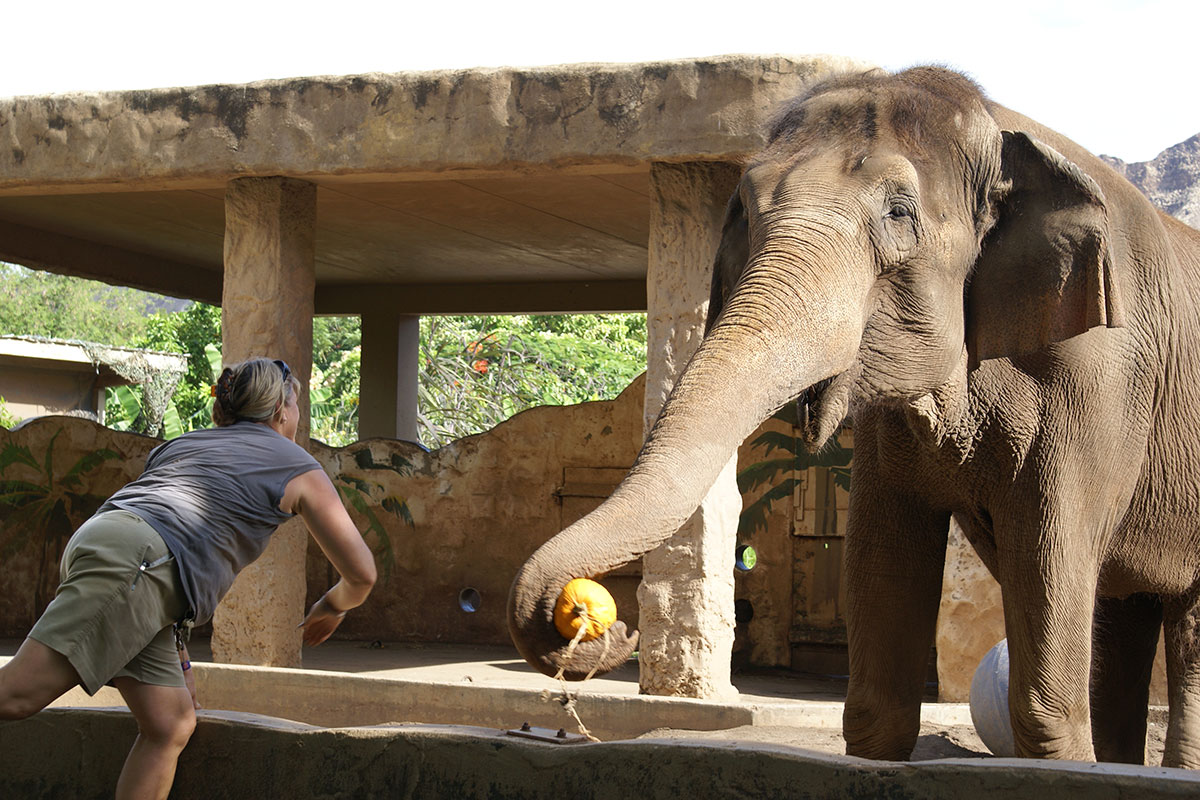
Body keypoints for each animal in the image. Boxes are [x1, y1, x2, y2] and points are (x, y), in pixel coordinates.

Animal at [507, 65, 1200, 767]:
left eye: (899, 212)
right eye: (747, 207)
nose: (603, 623)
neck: (998, 121)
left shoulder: (1095, 379)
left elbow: (1045, 671)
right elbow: (878, 642)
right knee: (1125, 611)